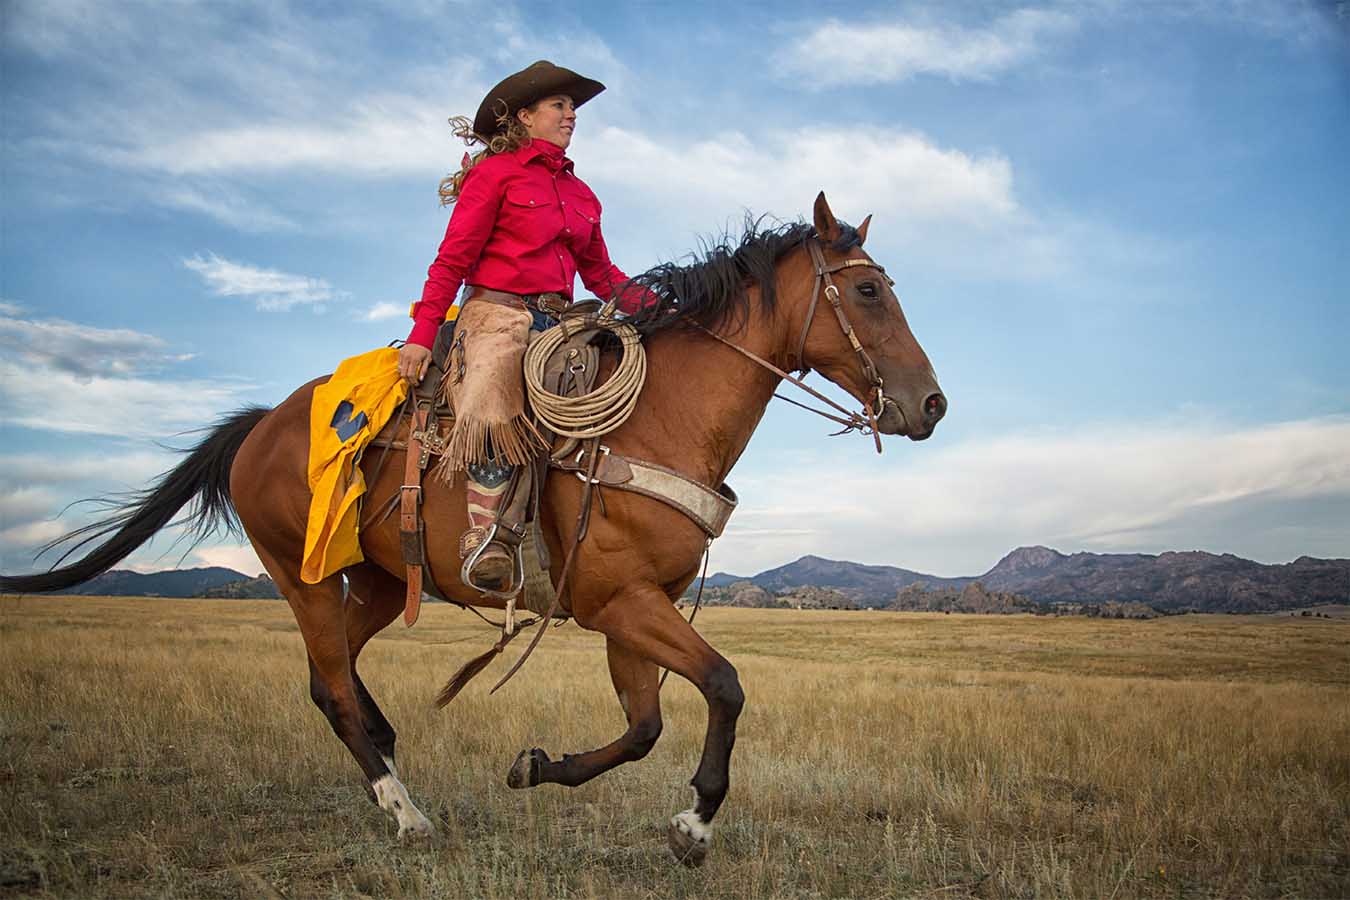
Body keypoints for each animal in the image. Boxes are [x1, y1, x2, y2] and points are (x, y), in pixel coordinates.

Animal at [2, 191, 950, 863]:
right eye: (869, 289)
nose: (931, 405)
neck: (658, 419)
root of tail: (264, 423)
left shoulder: (634, 606)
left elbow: (644, 726)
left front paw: (537, 768)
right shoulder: (619, 600)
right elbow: (724, 686)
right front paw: (694, 824)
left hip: (376, 582)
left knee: (329, 679)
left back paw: (394, 768)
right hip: (302, 576)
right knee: (332, 684)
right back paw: (406, 814)